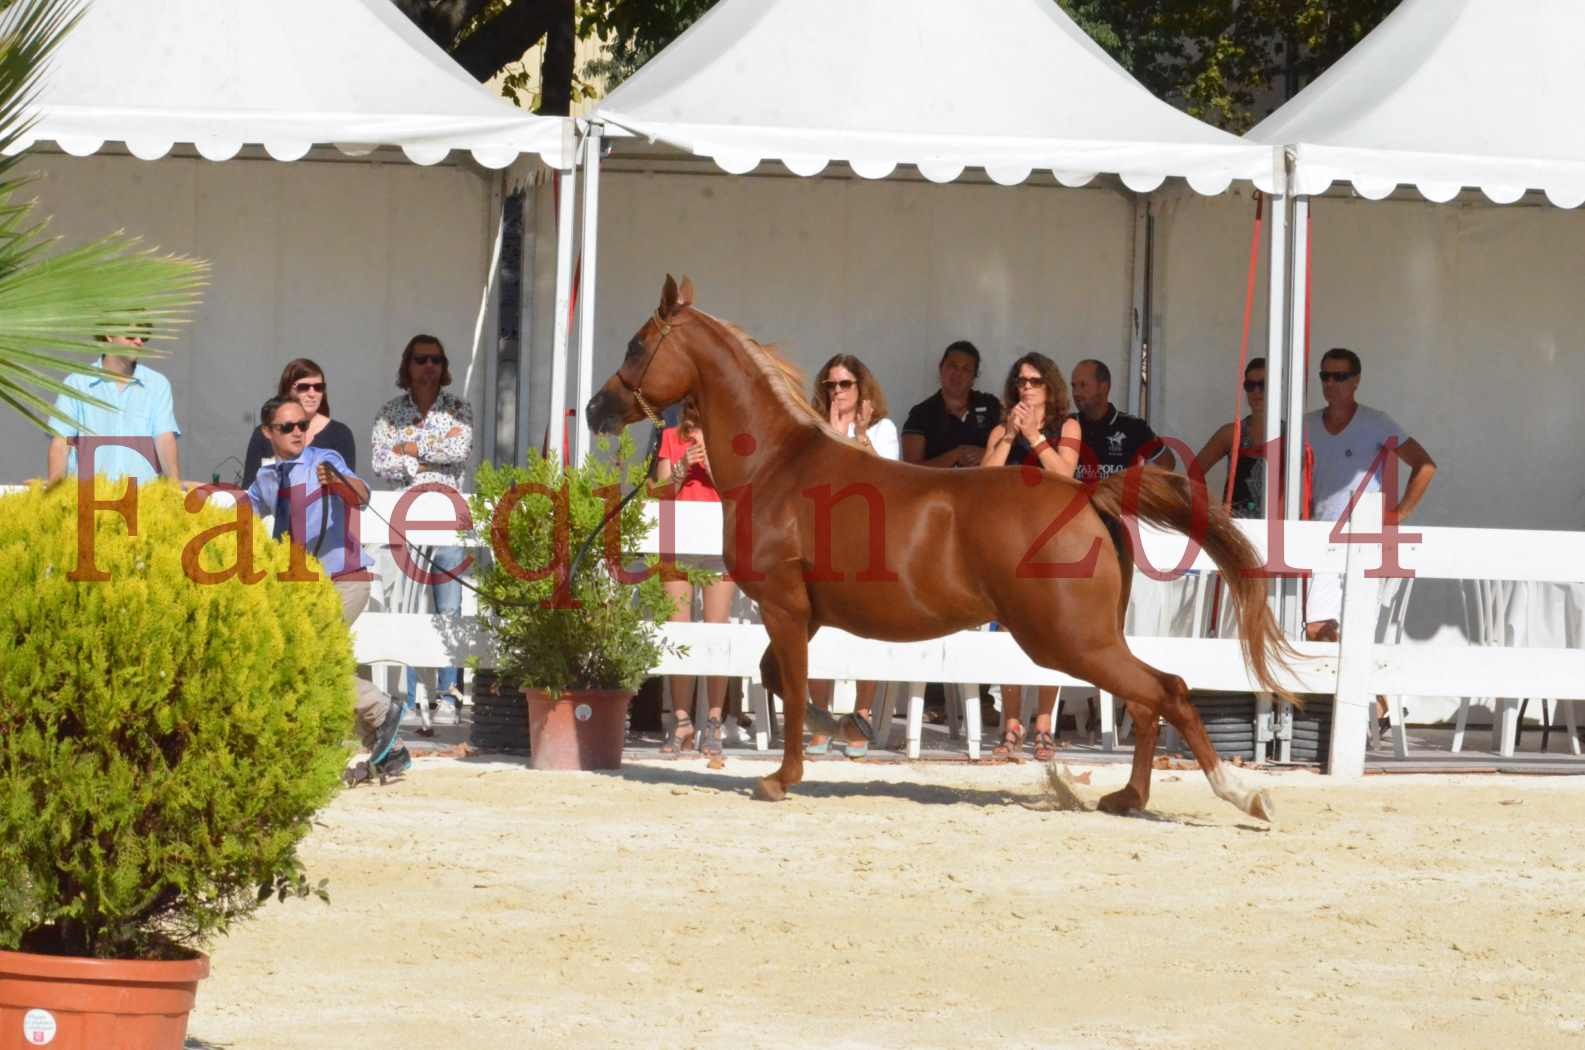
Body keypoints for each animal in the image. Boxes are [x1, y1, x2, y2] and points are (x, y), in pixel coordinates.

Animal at [589, 275, 1293, 818]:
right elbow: (776, 679)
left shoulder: (785, 608)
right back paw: (1128, 798)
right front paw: (843, 726)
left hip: (1068, 641)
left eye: (637, 344)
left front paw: (783, 777)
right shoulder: (801, 614)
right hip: (1086, 640)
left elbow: (787, 685)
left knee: (1168, 690)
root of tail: (1087, 495)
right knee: (1150, 702)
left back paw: (1241, 795)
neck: (776, 465)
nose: (597, 409)